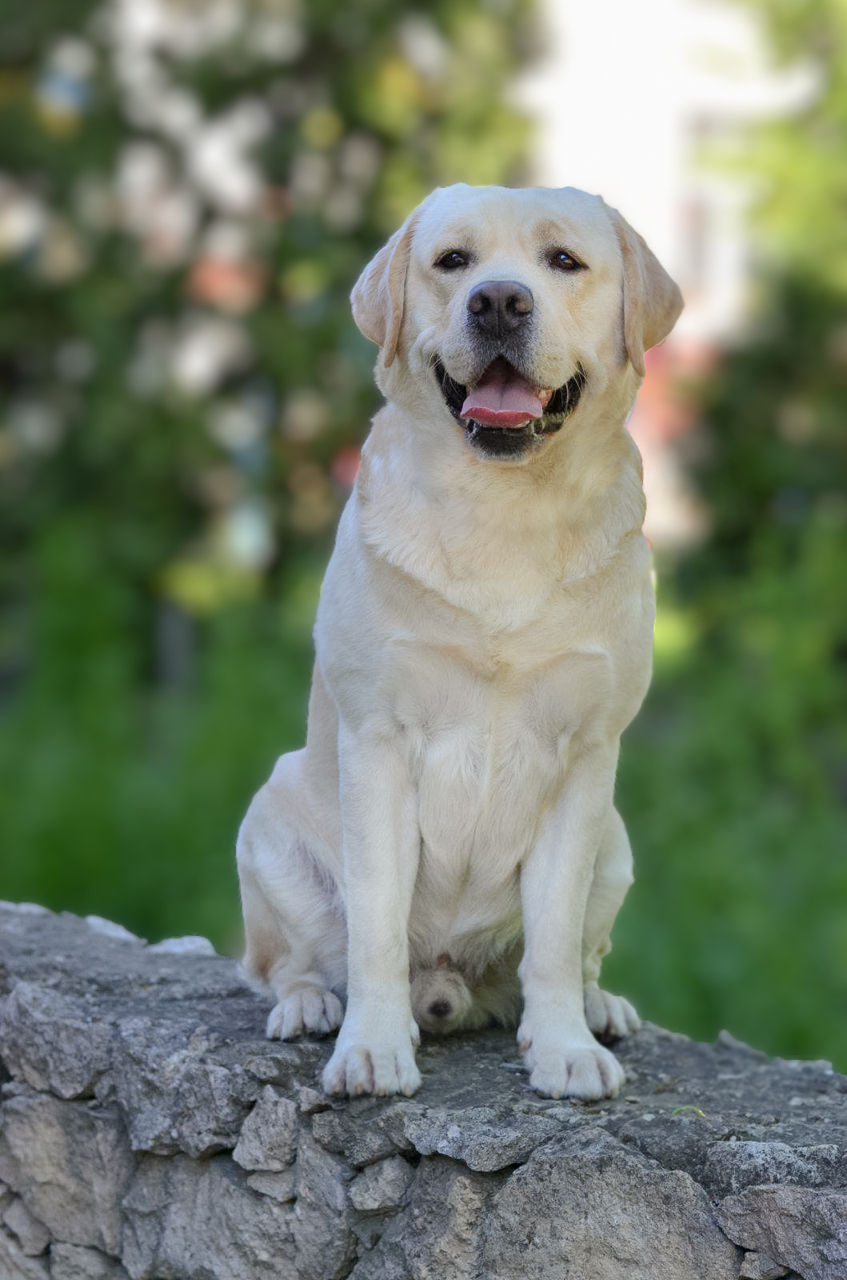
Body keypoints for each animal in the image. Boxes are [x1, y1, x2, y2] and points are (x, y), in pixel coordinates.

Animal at [236, 183, 685, 1100]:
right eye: (453, 262)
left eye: (562, 262)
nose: (499, 301)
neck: (502, 508)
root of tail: (449, 986)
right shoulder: (377, 742)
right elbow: (374, 926)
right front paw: (372, 1048)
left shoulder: (585, 757)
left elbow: (552, 940)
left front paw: (562, 1048)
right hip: (267, 821)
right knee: (284, 963)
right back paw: (308, 1006)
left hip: (615, 842)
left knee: (574, 954)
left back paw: (596, 1008)